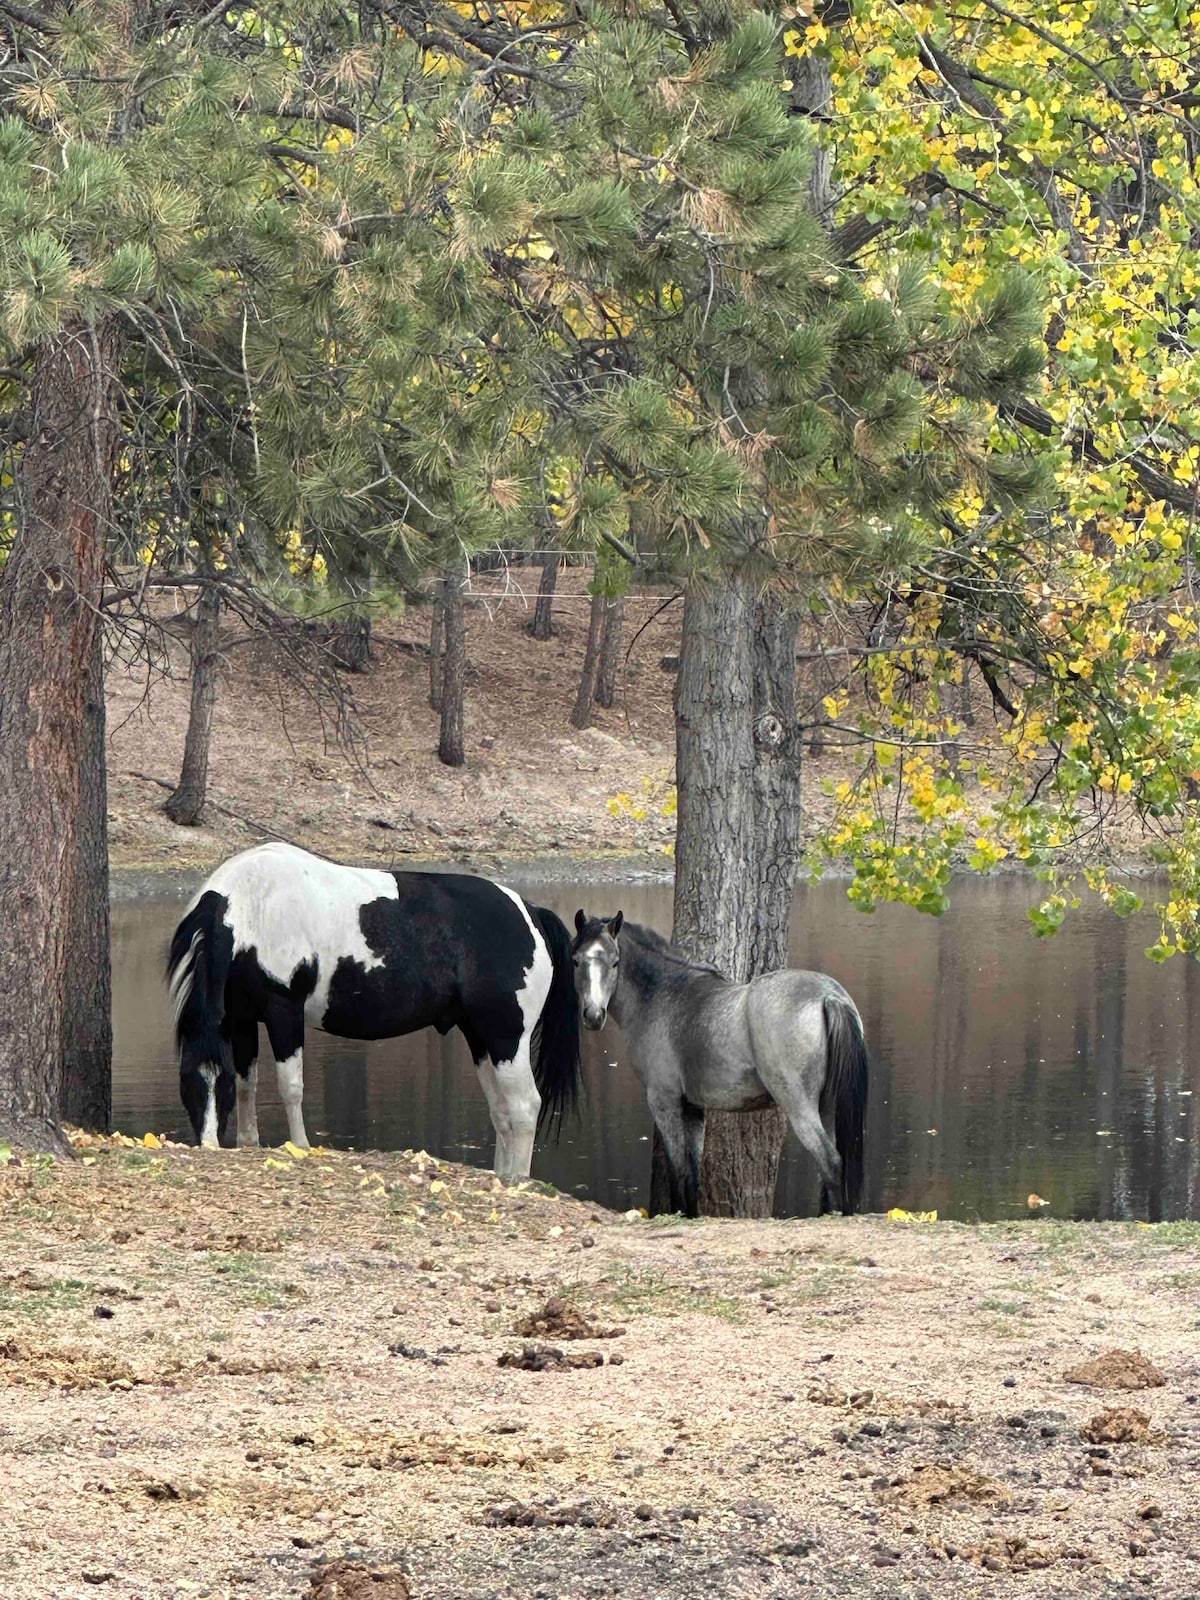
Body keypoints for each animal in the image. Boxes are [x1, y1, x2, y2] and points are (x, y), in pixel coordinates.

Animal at [168, 844, 582, 1184]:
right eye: (188, 1082)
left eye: (217, 1087)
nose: (208, 1146)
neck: (253, 903)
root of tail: (531, 912)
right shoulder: (241, 1019)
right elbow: (248, 1083)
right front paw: (248, 1142)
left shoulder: (283, 1011)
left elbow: (290, 1086)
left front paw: (300, 1145)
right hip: (482, 1039)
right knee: (502, 1112)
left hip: (507, 1038)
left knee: (524, 1106)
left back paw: (519, 1182)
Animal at [576, 921, 876, 1216]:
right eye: (577, 960)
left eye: (615, 962)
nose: (593, 1016)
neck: (665, 997)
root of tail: (829, 996)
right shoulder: (692, 1108)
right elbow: (693, 1174)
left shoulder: (664, 1101)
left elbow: (678, 1170)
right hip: (826, 1107)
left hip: (800, 1107)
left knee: (831, 1163)